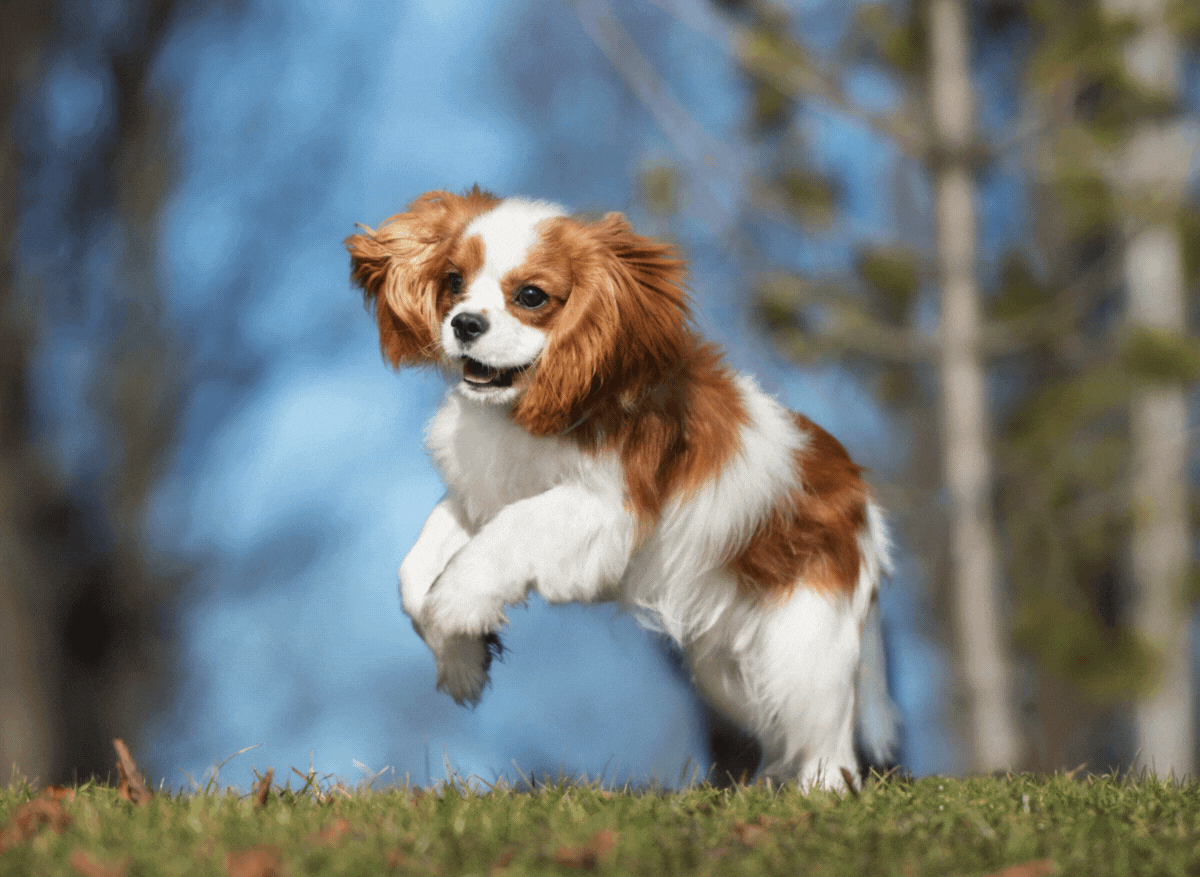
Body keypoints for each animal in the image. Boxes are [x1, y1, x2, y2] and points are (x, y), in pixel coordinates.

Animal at [345, 187, 896, 789]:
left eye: (531, 296)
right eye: (452, 281)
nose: (464, 323)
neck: (527, 410)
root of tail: (862, 501)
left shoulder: (602, 508)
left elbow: (504, 537)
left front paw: (456, 605)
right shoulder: (482, 494)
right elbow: (415, 570)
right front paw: (461, 660)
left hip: (802, 642)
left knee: (826, 736)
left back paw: (819, 791)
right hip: (725, 668)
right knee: (778, 729)